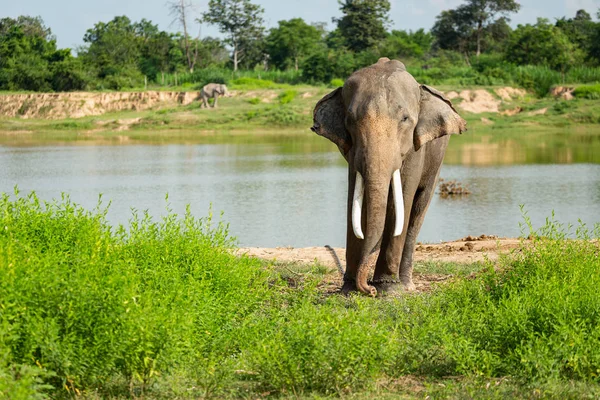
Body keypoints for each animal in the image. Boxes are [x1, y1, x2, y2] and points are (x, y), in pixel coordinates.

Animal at [312, 57, 466, 296]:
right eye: (350, 120)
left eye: (405, 119)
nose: (369, 290)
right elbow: (355, 203)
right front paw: (349, 291)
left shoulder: (415, 150)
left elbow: (400, 202)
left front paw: (388, 291)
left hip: (436, 163)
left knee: (417, 210)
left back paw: (406, 285)